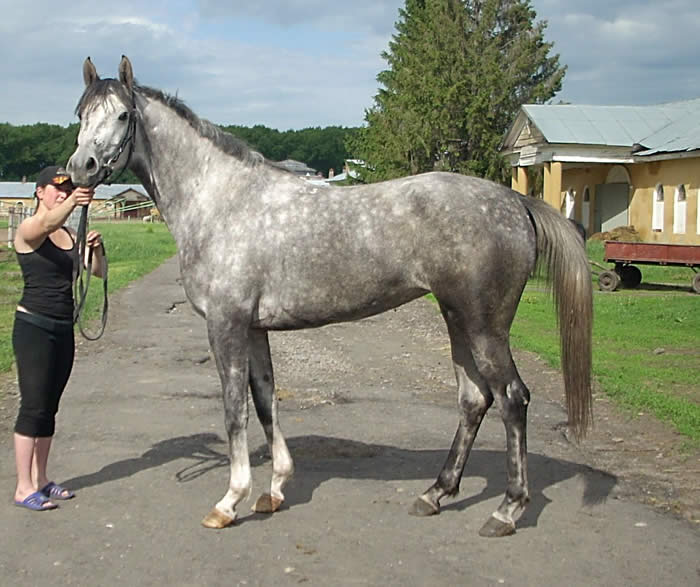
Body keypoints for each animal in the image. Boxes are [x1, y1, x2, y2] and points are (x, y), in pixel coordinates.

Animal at [67, 56, 593, 537]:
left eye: (122, 116)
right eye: (80, 113)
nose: (80, 169)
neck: (221, 201)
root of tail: (516, 201)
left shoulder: (225, 324)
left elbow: (235, 409)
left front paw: (230, 502)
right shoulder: (254, 329)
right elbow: (265, 400)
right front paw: (274, 491)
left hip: (485, 327)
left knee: (512, 399)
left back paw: (507, 510)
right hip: (457, 319)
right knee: (474, 400)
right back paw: (435, 494)